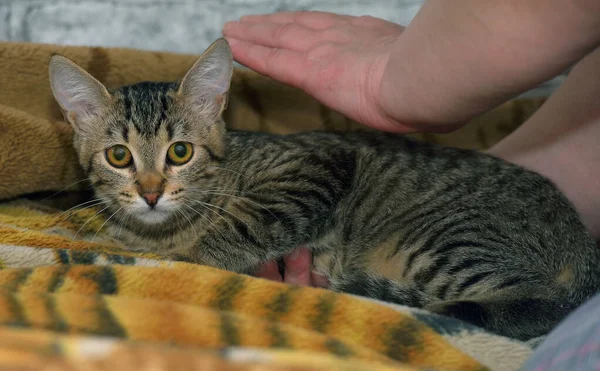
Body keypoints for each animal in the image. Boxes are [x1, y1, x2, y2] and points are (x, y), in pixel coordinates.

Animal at [49, 38, 600, 342]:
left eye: (180, 152)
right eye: (119, 157)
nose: (150, 193)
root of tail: (581, 242)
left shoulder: (318, 163)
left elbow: (245, 221)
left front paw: (194, 257)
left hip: (445, 240)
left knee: (541, 305)